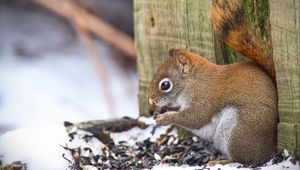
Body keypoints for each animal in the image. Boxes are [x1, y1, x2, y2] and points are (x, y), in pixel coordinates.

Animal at [149, 0, 278, 165]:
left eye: (165, 85)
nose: (151, 101)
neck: (193, 82)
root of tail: (271, 146)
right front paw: (161, 110)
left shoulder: (204, 98)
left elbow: (195, 117)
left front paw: (165, 118)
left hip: (237, 131)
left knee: (245, 159)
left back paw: (223, 161)